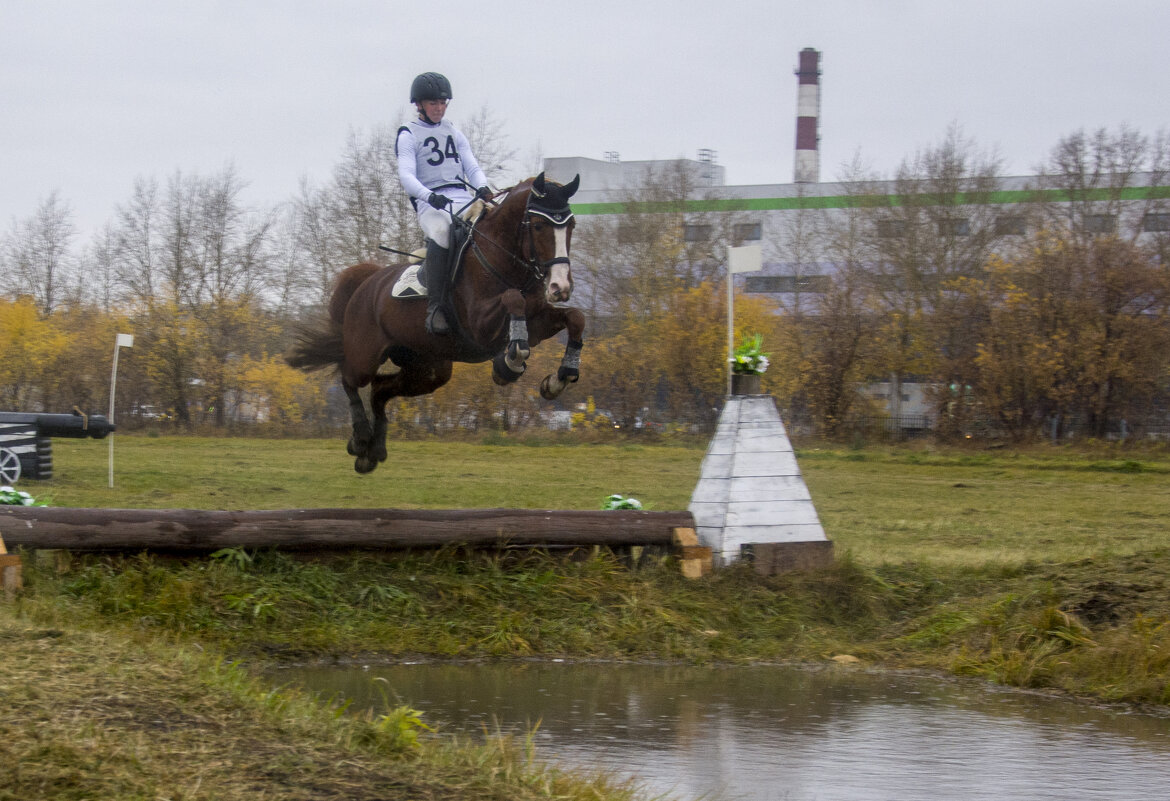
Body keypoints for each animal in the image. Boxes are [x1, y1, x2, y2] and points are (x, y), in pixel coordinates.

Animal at [284, 171, 585, 472]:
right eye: (538, 225)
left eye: (571, 225)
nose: (560, 287)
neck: (502, 258)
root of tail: (368, 282)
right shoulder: (480, 327)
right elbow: (513, 300)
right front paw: (509, 363)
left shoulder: (536, 322)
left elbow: (575, 318)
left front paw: (558, 379)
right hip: (365, 356)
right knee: (349, 378)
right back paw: (360, 439)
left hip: (429, 370)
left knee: (380, 390)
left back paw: (372, 452)